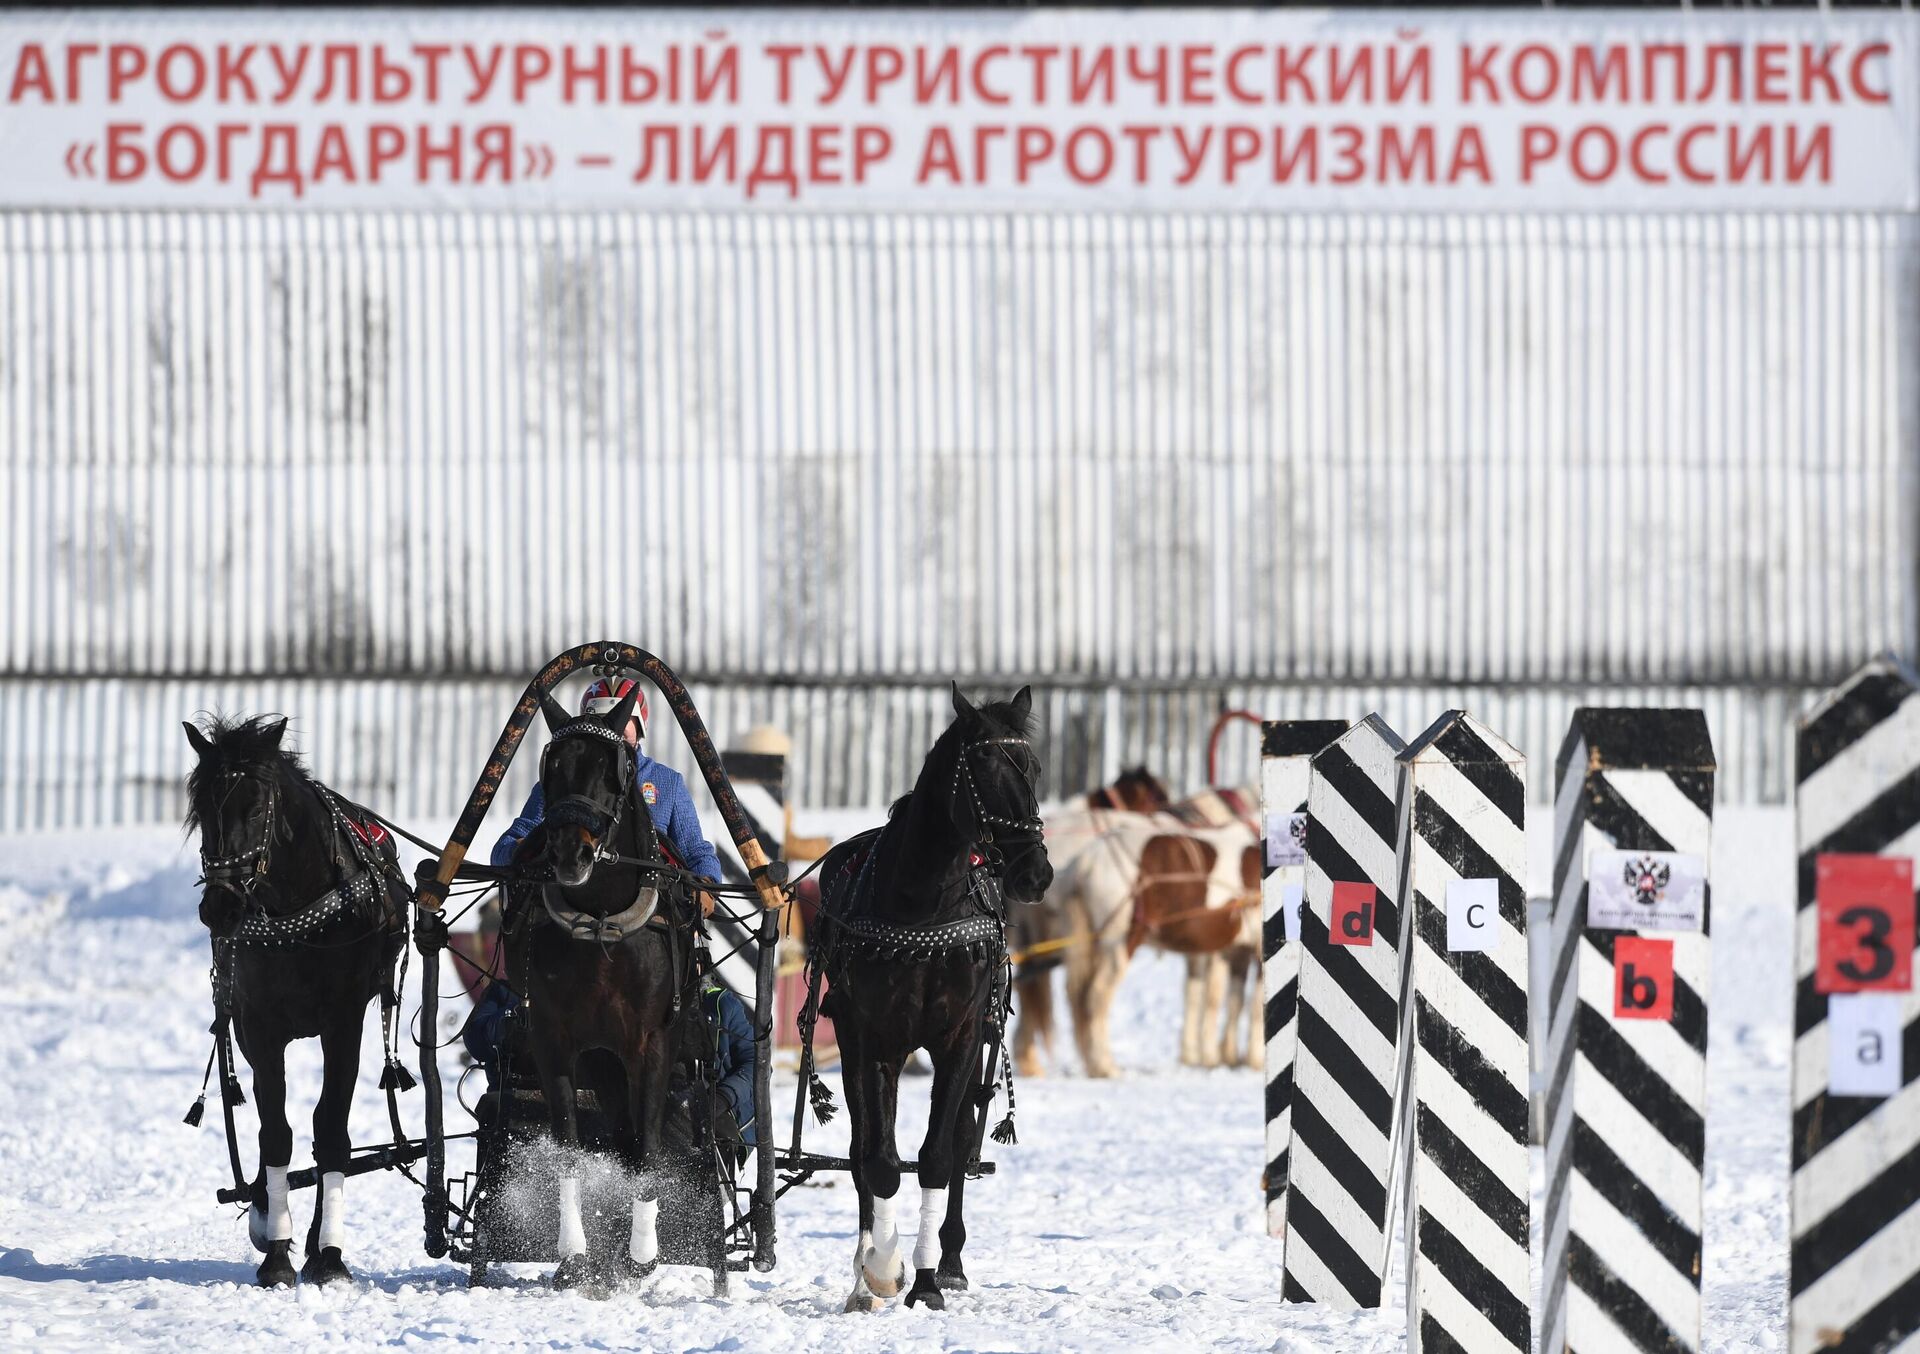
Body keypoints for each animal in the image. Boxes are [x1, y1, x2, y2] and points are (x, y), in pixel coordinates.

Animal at [503, 687, 698, 1290]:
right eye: (551, 768)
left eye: (616, 769)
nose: (570, 854)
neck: (601, 922)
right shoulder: (555, 1043)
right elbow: (569, 1148)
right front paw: (574, 1255)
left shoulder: (653, 1046)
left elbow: (646, 1149)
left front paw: (641, 1255)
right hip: (600, 1060)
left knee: (631, 1137)